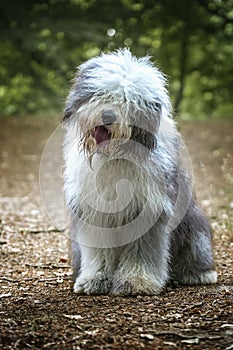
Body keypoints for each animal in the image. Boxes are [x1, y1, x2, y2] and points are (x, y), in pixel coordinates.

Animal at [61, 48, 217, 296]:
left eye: (128, 101)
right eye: (101, 93)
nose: (108, 116)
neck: (115, 155)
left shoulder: (148, 208)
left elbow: (142, 251)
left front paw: (136, 281)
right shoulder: (96, 212)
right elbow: (98, 251)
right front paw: (94, 279)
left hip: (194, 226)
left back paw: (199, 273)